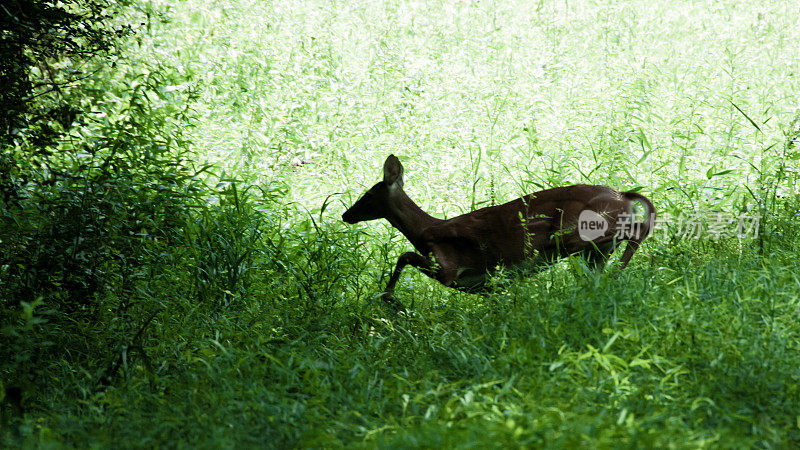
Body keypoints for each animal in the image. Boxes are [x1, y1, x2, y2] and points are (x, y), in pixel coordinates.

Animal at [340, 155, 652, 310]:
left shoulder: (449, 268)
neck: (425, 228)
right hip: (593, 251)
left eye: (367, 195)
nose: (346, 215)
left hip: (575, 234)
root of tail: (623, 195)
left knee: (636, 230)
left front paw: (390, 298)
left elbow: (404, 256)